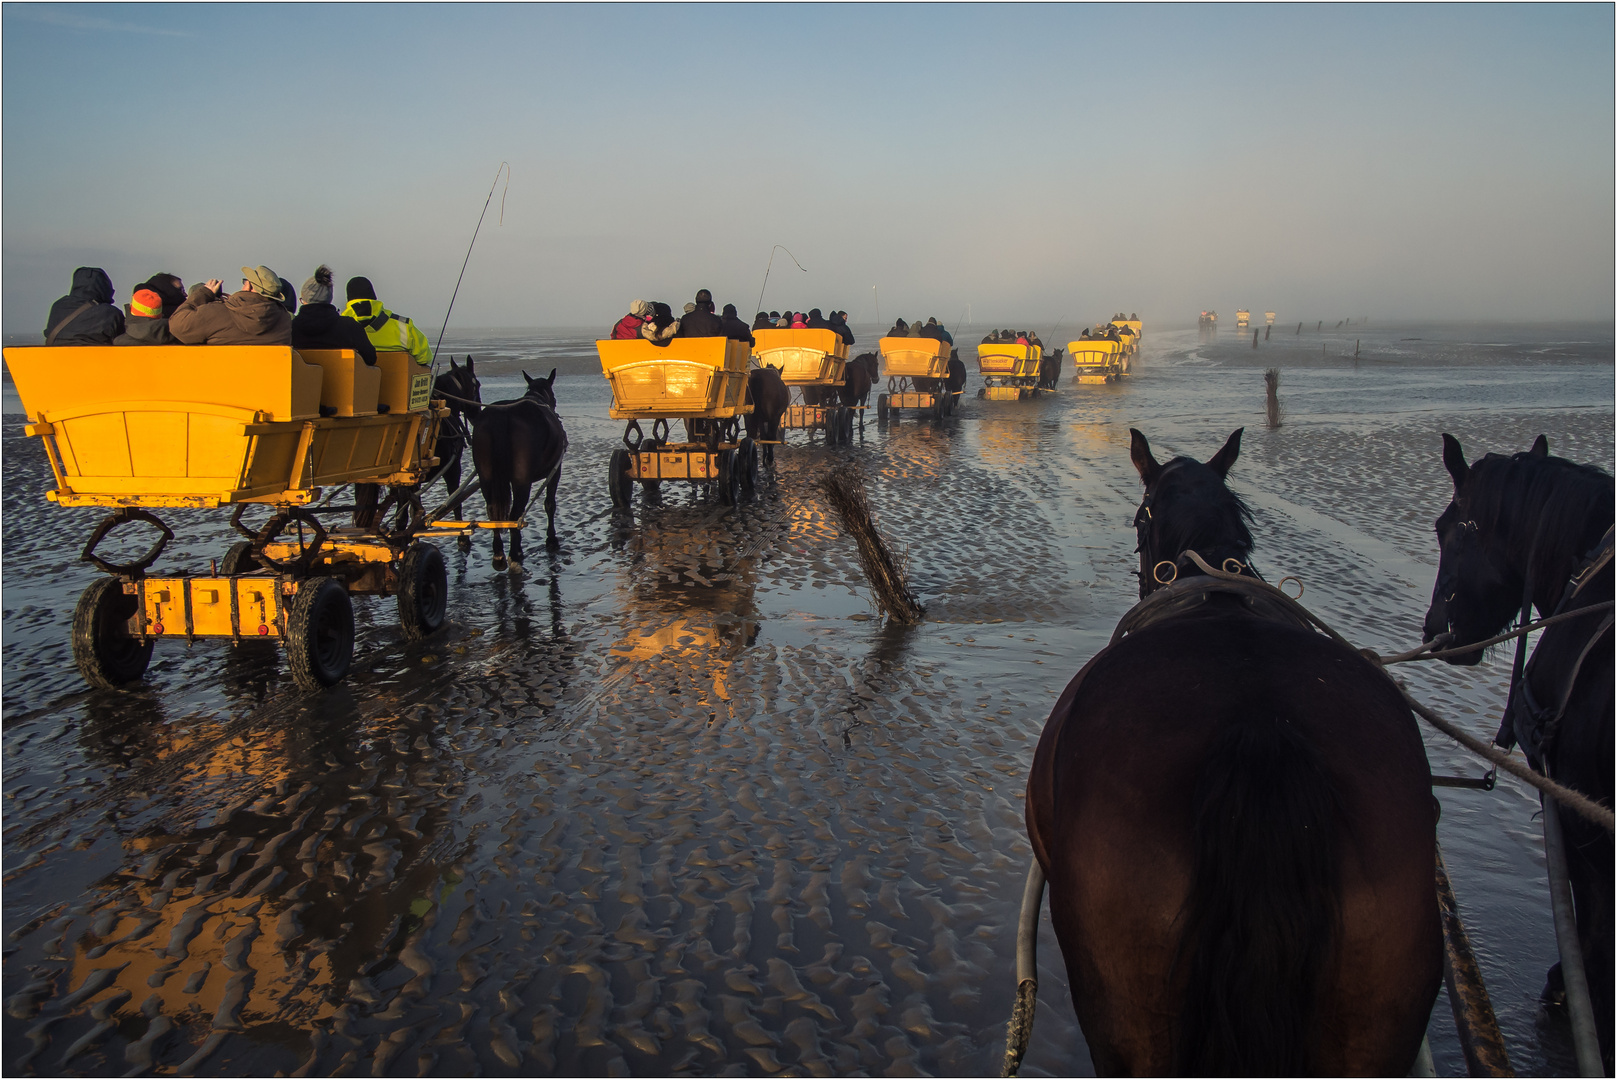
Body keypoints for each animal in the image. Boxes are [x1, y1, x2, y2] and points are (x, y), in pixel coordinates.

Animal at [468, 368, 569, 572]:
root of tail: (500, 417)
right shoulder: (555, 471)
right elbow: (550, 504)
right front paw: (551, 539)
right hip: (522, 481)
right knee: (515, 515)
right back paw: (514, 554)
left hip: (486, 478)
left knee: (493, 513)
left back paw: (499, 554)